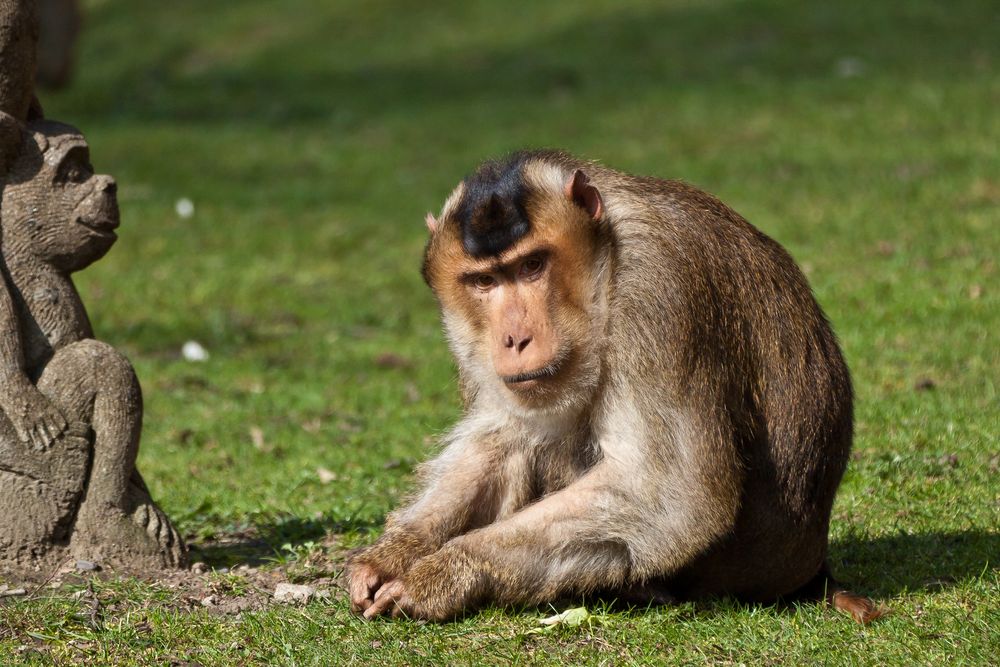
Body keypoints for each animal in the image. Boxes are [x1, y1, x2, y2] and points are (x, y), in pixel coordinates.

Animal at [346, 149, 884, 624]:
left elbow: (671, 496)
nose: (515, 339)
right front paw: (396, 551)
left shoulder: (658, 287)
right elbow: (500, 435)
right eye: (484, 281)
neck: (605, 260)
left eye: (532, 266)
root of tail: (814, 566)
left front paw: (446, 571)